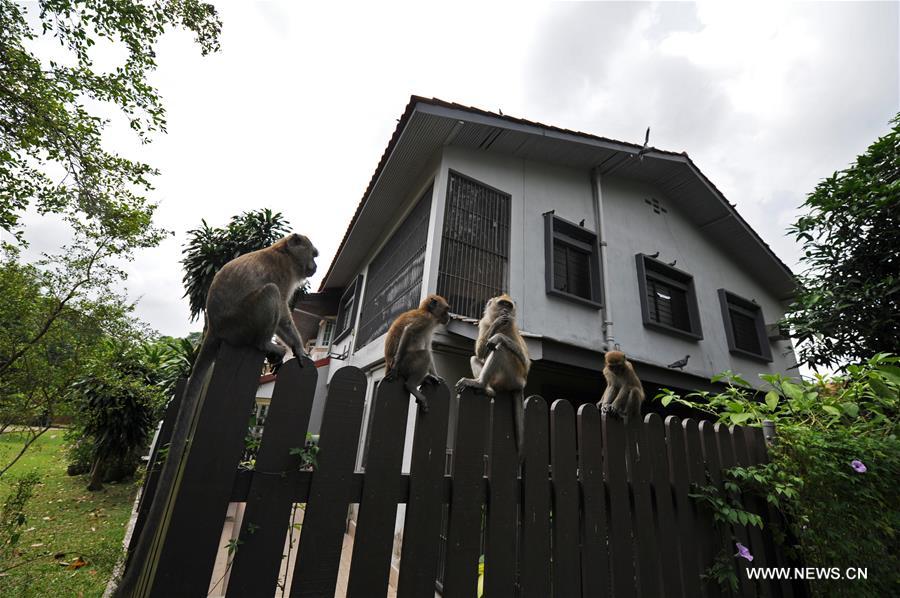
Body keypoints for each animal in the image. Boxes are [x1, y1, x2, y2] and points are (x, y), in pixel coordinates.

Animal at [454, 296, 532, 460]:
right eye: (502, 304)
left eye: (508, 305)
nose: (505, 310)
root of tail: (521, 384)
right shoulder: (485, 323)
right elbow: (479, 353)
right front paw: (497, 323)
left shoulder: (512, 327)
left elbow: (526, 362)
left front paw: (498, 335)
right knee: (475, 358)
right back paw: (486, 388)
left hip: (514, 376)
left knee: (501, 348)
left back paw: (480, 383)